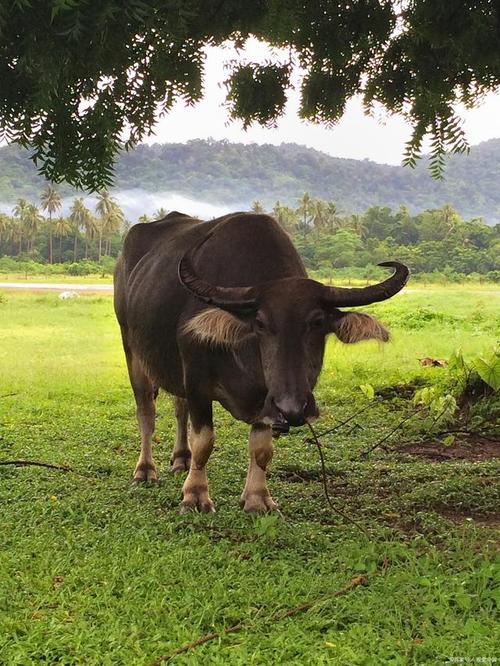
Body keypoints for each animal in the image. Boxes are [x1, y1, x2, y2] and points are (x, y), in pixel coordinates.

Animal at [115, 210, 408, 510]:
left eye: (317, 322)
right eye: (261, 323)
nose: (293, 407)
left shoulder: (266, 399)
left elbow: (261, 447)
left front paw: (257, 498)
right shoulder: (197, 381)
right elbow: (204, 441)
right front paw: (195, 495)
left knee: (178, 407)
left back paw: (181, 459)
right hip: (131, 348)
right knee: (146, 412)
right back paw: (146, 470)